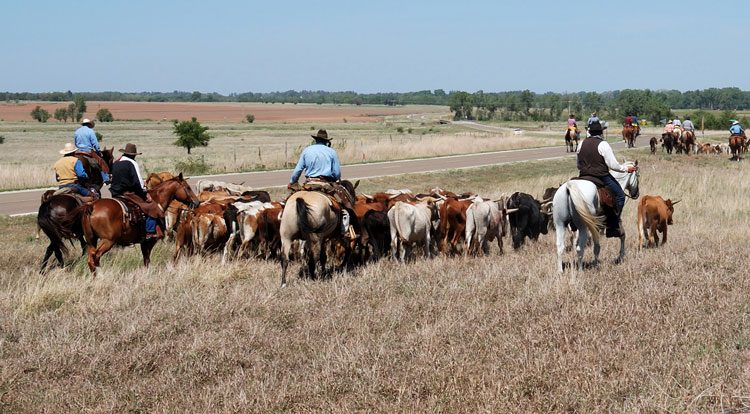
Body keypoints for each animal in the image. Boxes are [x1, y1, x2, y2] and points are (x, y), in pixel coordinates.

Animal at [65, 174, 200, 274]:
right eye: (188, 187)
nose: (197, 202)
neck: (157, 201)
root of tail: (91, 206)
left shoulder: (143, 242)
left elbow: (146, 259)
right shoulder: (150, 241)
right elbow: (147, 259)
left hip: (91, 240)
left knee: (90, 258)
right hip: (108, 241)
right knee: (95, 257)